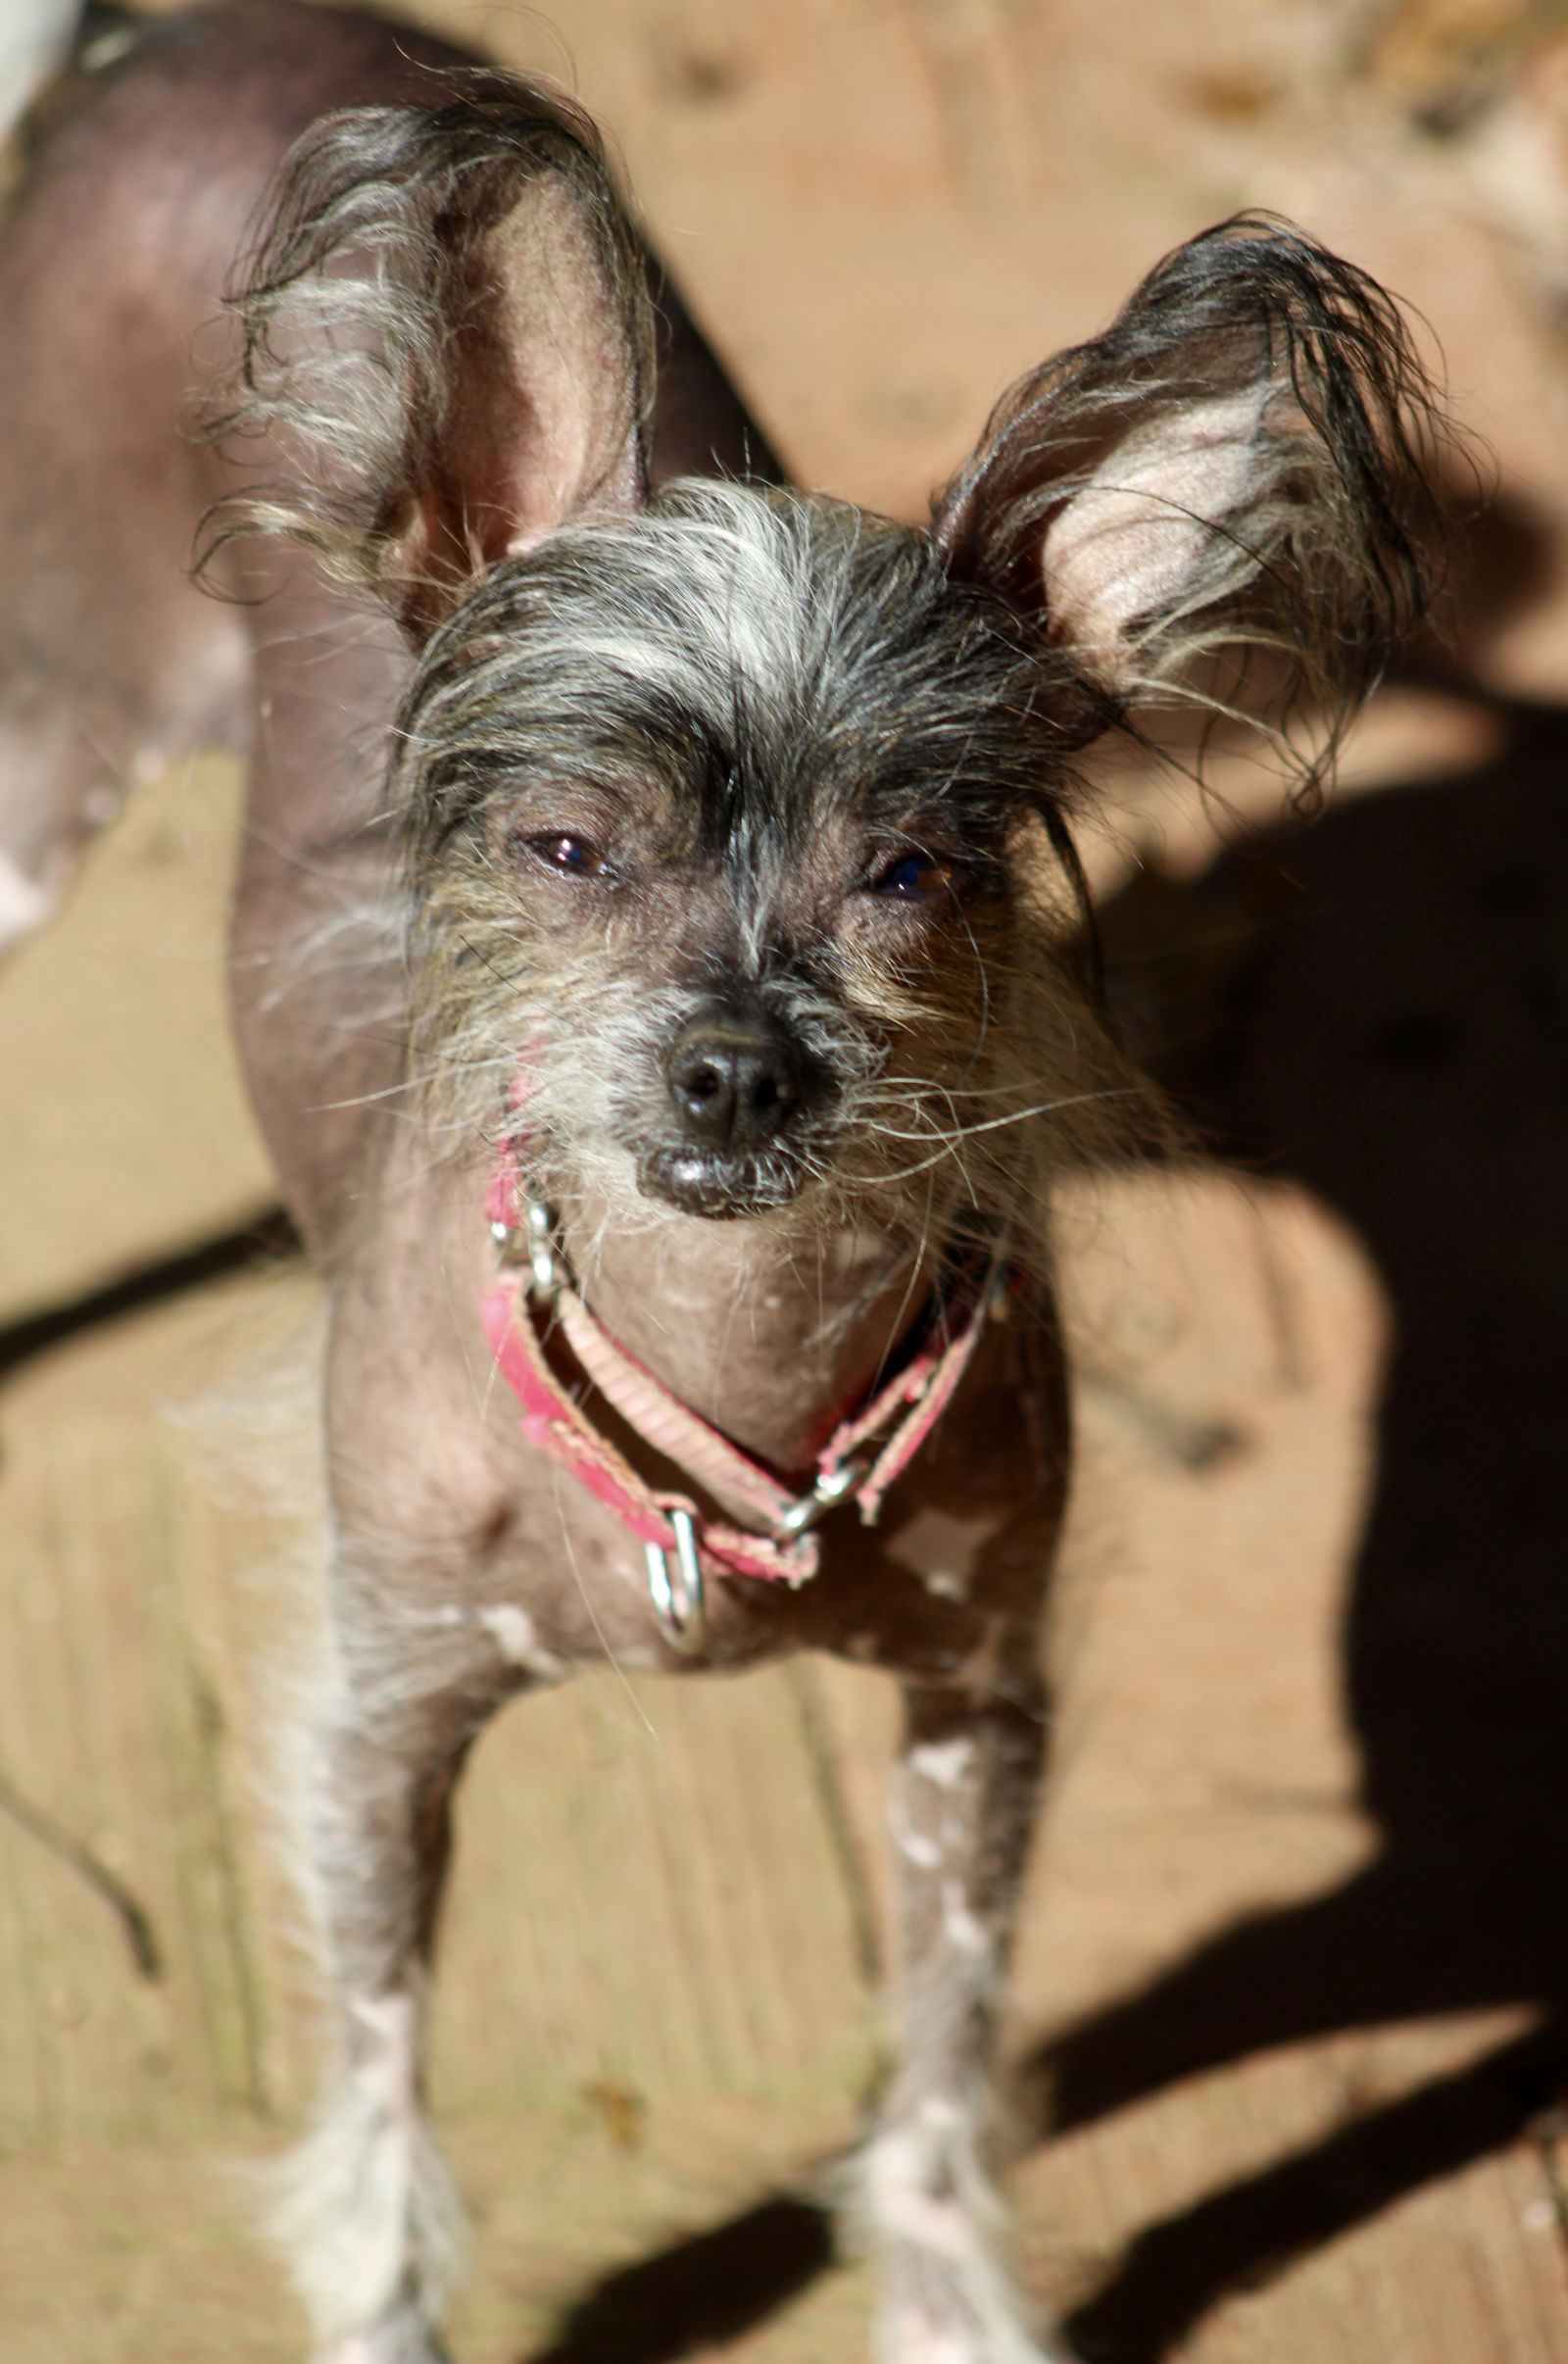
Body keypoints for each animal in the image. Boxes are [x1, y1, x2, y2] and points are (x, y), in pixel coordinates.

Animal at [0, 9, 1446, 2354]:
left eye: (911, 872)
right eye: (566, 846)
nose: (740, 1066)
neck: (730, 1394)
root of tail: (194, 32)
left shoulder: (979, 1720)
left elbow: (945, 2068)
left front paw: (949, 2302)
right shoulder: (375, 1728)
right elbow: (381, 2105)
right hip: (44, 746)